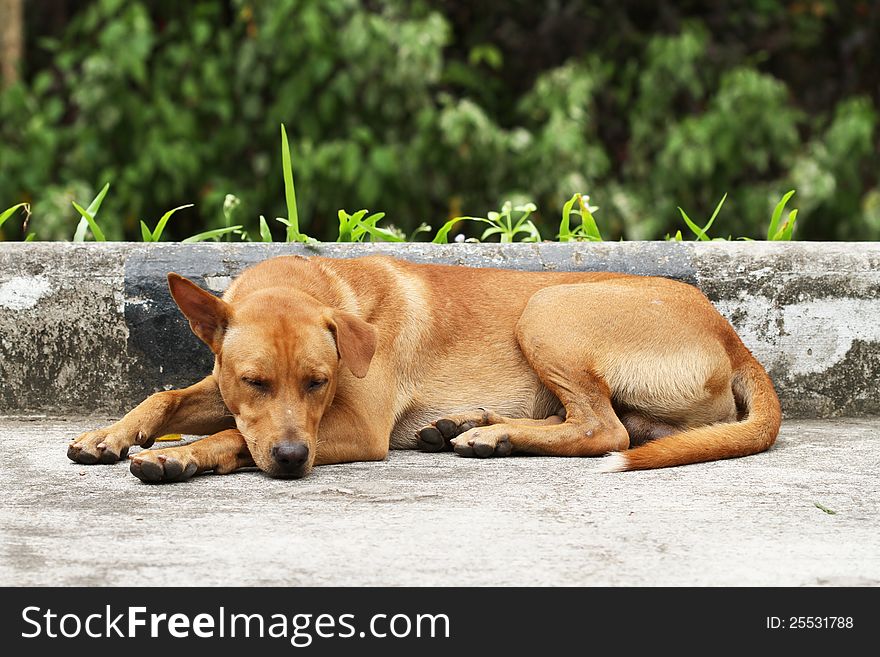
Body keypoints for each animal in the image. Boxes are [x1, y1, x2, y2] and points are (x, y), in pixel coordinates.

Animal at [69, 256, 784, 482]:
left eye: (318, 382)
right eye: (254, 381)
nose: (295, 459)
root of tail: (732, 335)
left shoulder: (356, 431)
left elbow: (230, 438)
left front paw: (182, 455)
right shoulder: (224, 390)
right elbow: (166, 396)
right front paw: (110, 434)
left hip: (547, 309)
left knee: (602, 430)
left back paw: (492, 434)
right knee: (611, 425)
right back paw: (470, 425)